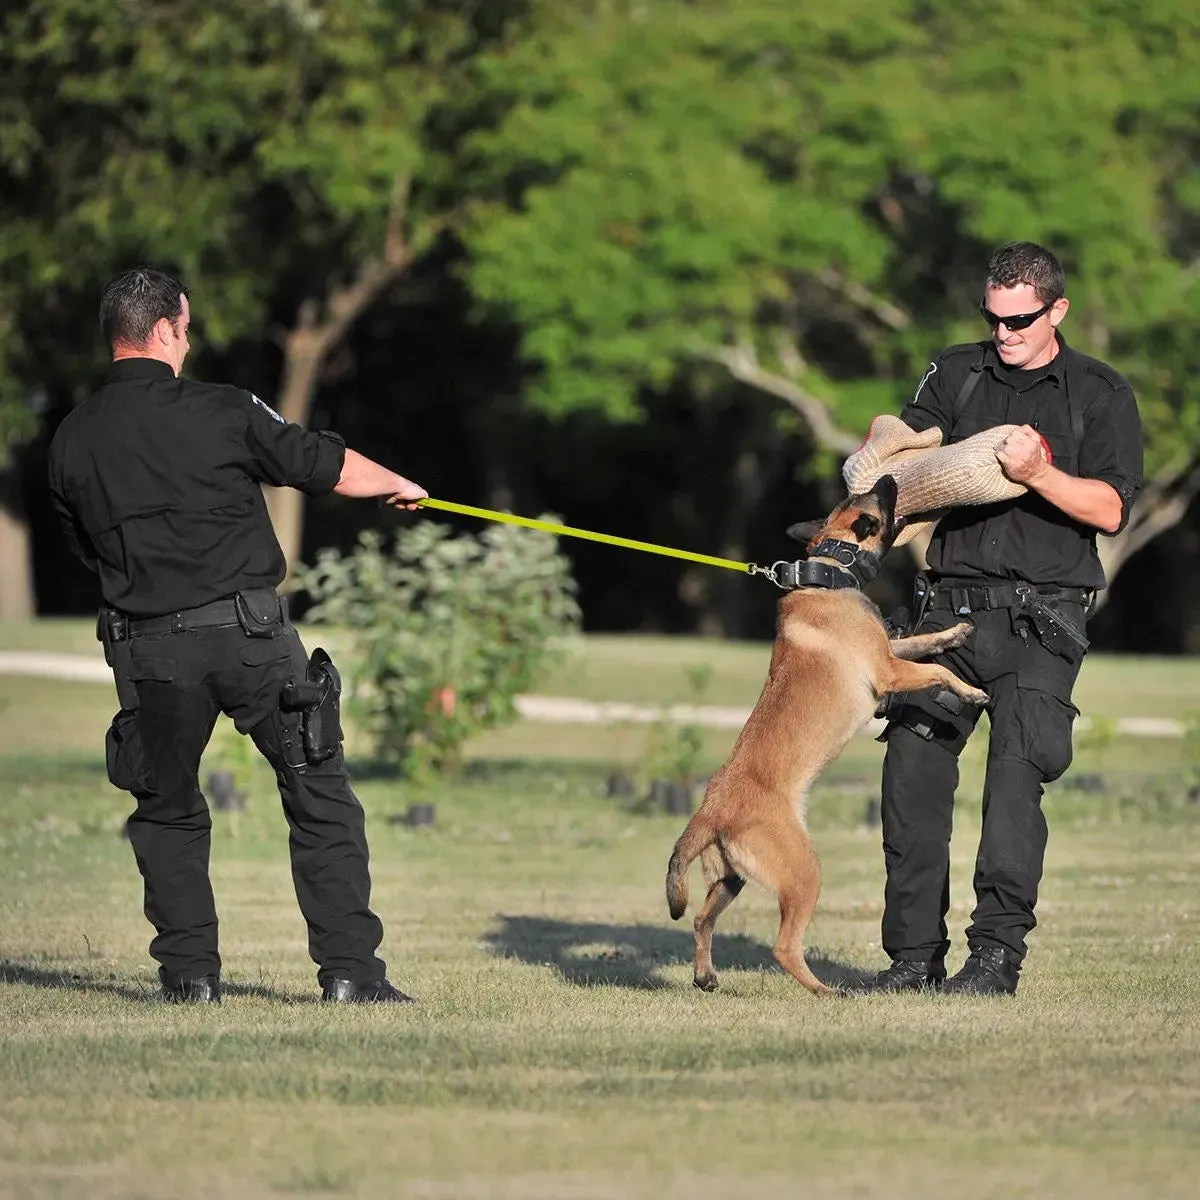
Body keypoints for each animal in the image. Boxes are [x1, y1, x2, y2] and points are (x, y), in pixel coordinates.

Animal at [667, 475, 984, 993]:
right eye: (877, 499)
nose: (889, 478)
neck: (831, 571)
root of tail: (711, 809)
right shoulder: (888, 671)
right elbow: (936, 669)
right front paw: (971, 690)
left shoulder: (890, 651)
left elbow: (921, 643)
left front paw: (953, 633)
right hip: (804, 874)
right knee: (783, 947)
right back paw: (824, 990)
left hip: (731, 879)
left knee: (700, 919)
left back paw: (706, 976)